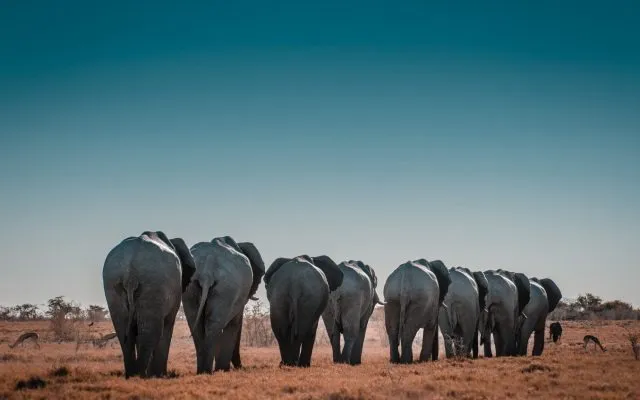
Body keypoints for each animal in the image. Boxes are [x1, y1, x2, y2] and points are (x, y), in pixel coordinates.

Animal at [102, 231, 196, 378]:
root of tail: (131, 272)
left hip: (112, 282)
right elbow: (168, 325)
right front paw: (160, 375)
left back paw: (132, 376)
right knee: (153, 331)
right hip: (154, 282)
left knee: (124, 332)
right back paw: (142, 376)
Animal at [182, 236, 265, 374]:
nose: (241, 367)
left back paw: (202, 371)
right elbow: (235, 323)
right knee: (216, 325)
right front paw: (226, 369)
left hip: (191, 288)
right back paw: (213, 370)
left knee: (197, 325)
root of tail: (207, 271)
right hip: (227, 288)